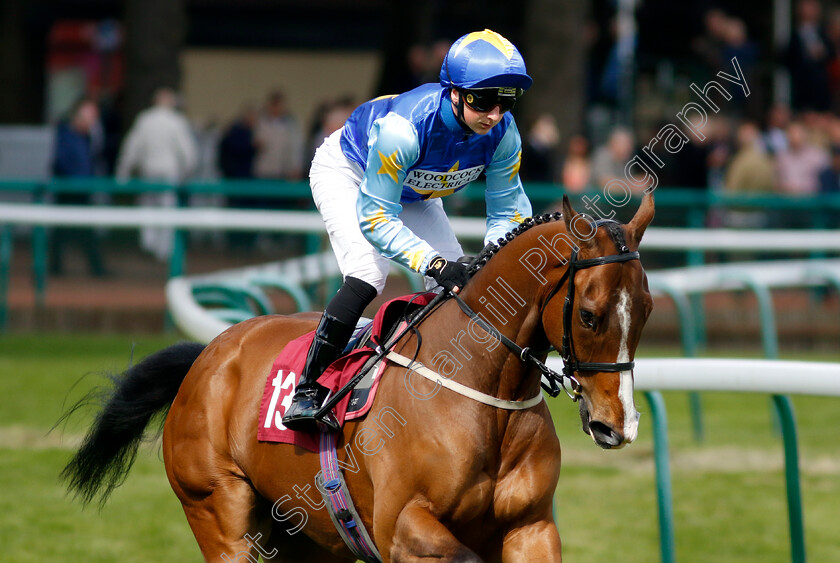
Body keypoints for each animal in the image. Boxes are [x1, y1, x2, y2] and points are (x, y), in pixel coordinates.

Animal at [64, 193, 656, 560]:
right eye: (590, 315)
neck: (484, 391)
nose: (617, 424)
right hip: (219, 512)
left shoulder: (531, 527)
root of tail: (208, 354)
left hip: (306, 538)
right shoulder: (403, 527)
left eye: (648, 310)